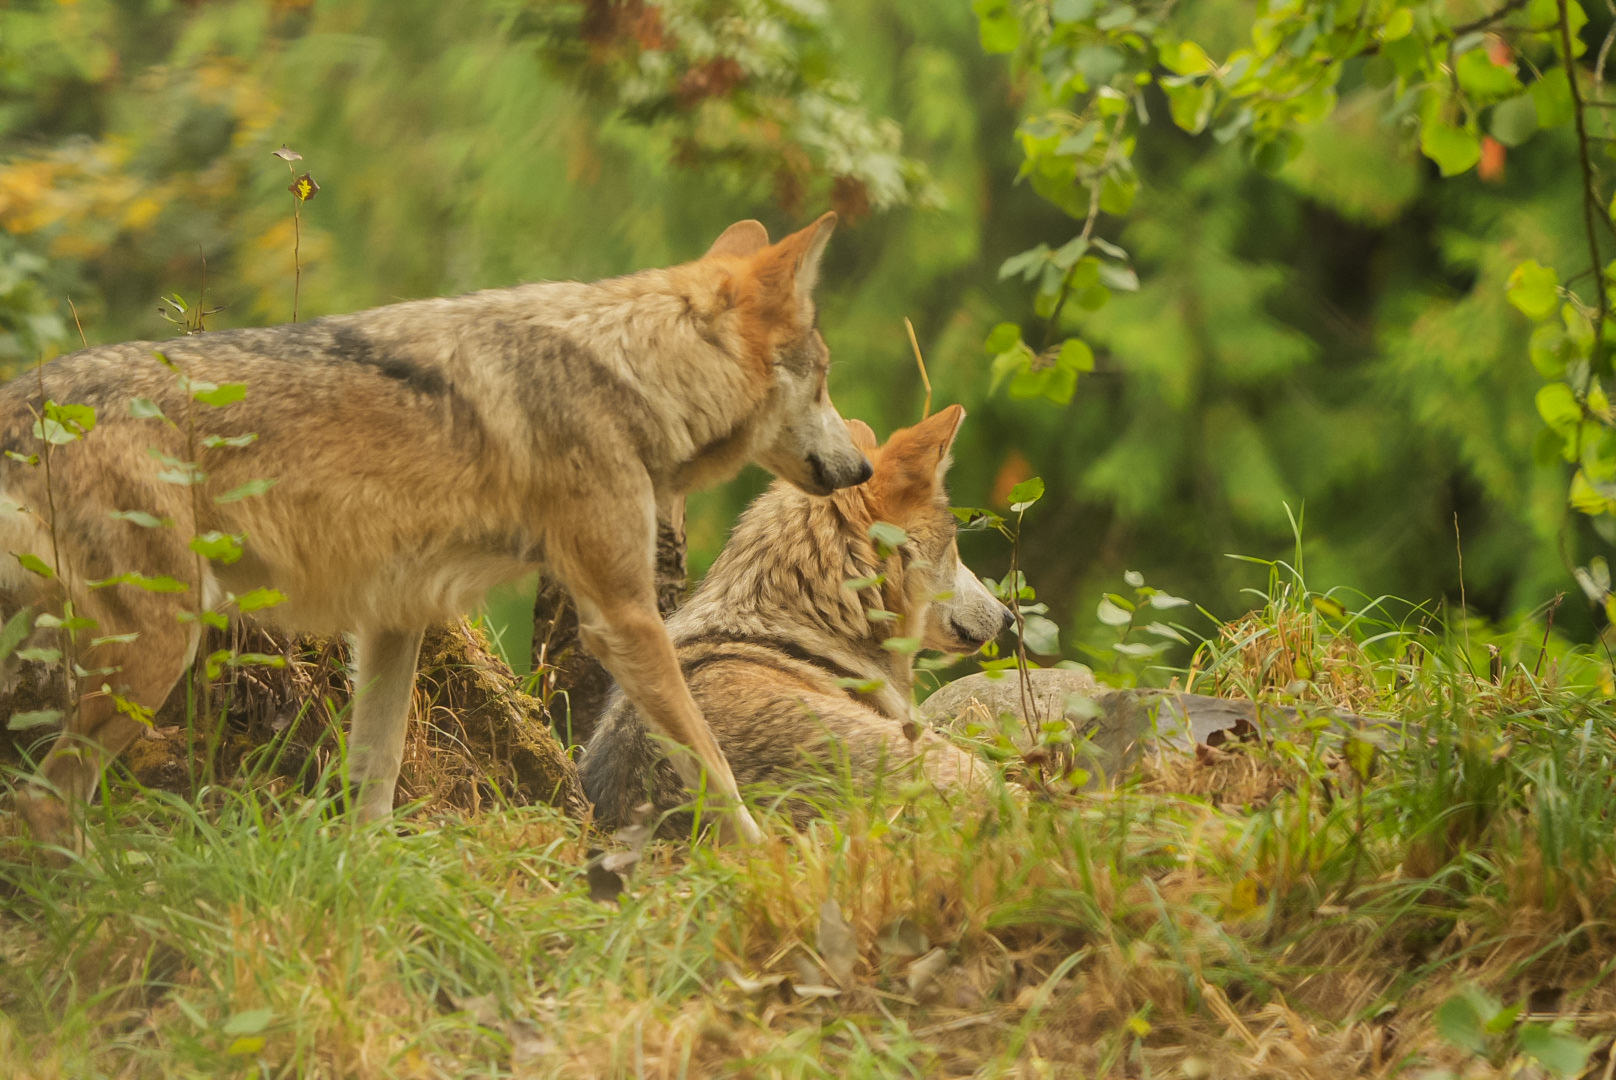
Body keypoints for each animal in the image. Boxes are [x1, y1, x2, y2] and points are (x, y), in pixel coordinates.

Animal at [3, 212, 870, 849]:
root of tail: (23, 401)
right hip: (158, 650)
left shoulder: (395, 615)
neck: (629, 369)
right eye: (827, 379)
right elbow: (712, 763)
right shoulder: (622, 619)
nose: (863, 467)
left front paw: (366, 875)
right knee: (43, 805)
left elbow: (375, 775)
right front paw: (762, 861)